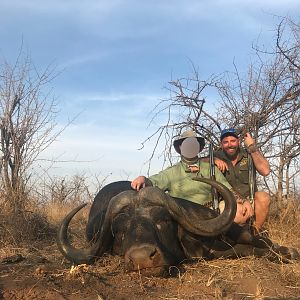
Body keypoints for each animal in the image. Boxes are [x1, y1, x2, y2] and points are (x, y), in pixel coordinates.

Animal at [56, 178, 300, 274]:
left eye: (162, 221)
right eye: (121, 231)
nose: (142, 258)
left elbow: (258, 242)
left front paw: (288, 251)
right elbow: (243, 250)